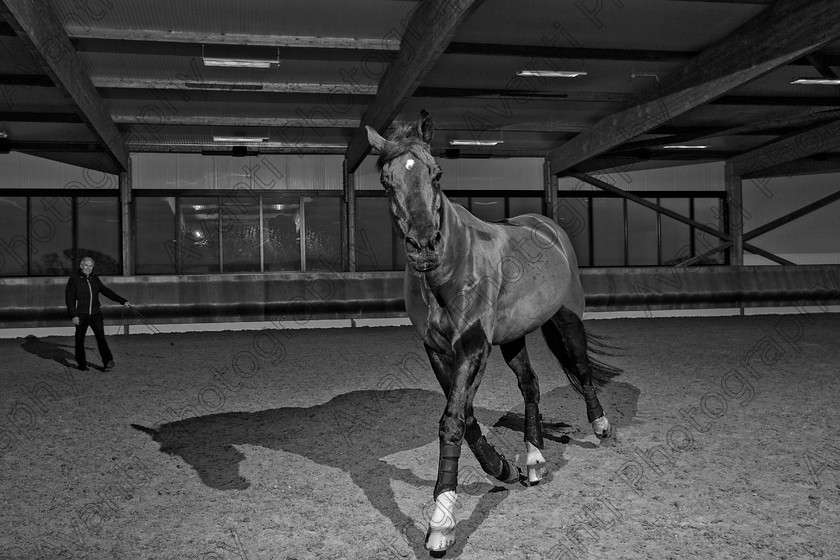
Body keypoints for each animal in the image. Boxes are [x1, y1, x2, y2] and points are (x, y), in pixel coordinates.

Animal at [364, 110, 620, 556]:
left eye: (437, 173)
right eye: (385, 181)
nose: (424, 245)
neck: (450, 268)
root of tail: (547, 227)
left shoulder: (473, 346)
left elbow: (452, 420)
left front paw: (442, 522)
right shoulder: (438, 351)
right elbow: (464, 418)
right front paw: (499, 466)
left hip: (567, 318)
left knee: (582, 368)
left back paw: (600, 426)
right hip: (514, 337)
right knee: (530, 384)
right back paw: (533, 459)